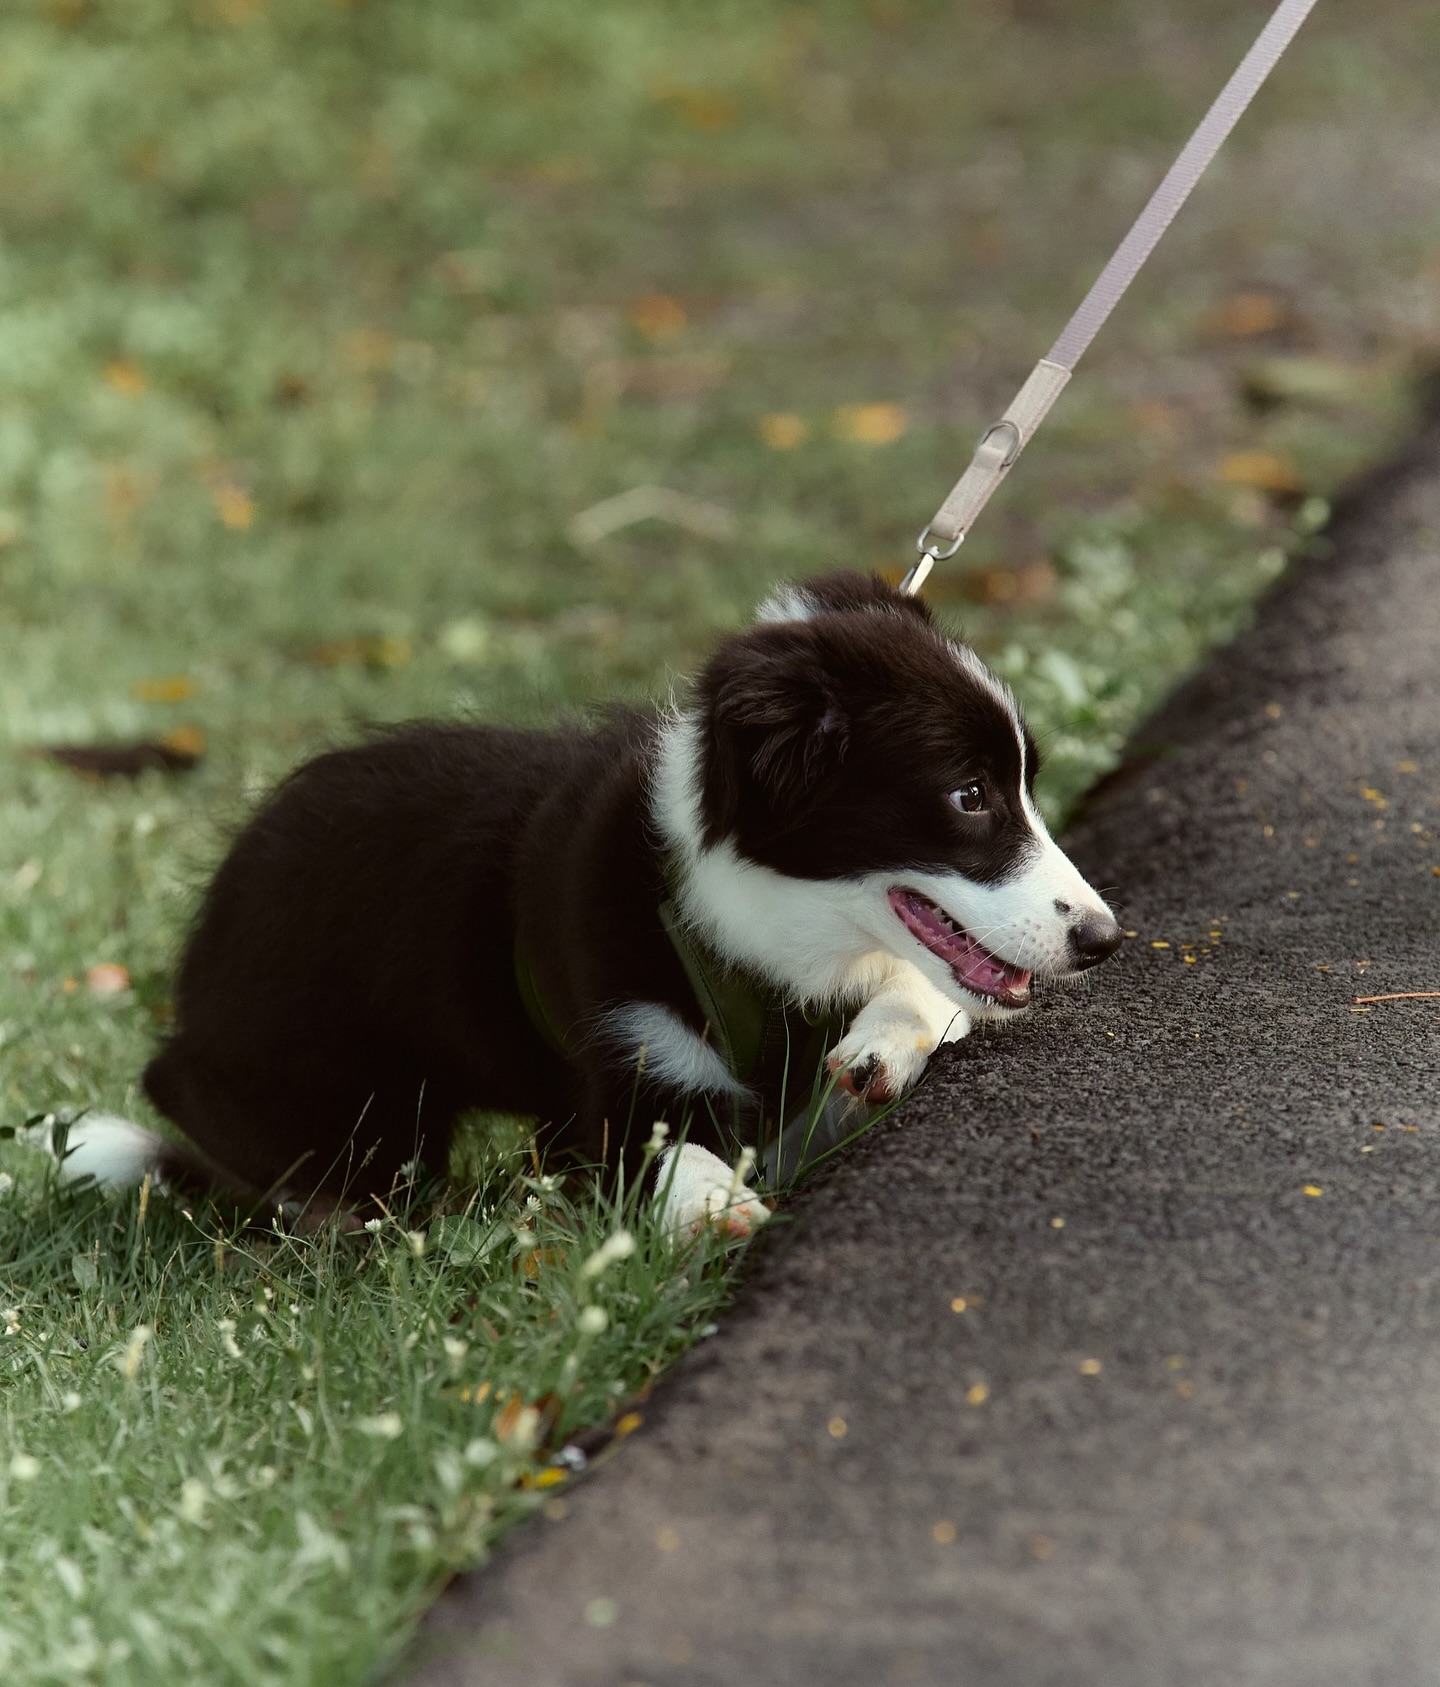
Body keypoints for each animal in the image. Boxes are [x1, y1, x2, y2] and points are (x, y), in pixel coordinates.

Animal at [61, 580, 1126, 1241]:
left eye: (1025, 784)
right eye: (969, 795)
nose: (1104, 939)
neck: (765, 929)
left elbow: (923, 992)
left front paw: (879, 1046)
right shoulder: (608, 1078)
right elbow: (664, 1153)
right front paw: (713, 1206)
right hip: (336, 1097)